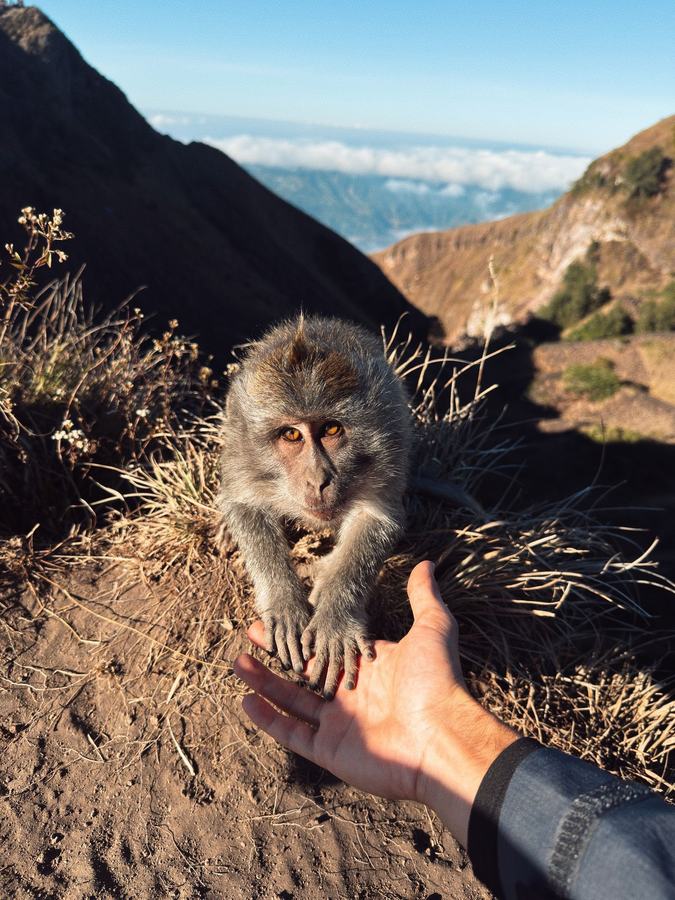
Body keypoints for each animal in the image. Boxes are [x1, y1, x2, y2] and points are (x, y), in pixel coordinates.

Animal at [218, 315, 411, 699]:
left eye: (331, 429)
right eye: (291, 435)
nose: (318, 480)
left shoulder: (388, 449)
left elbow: (375, 518)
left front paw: (335, 615)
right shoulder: (243, 453)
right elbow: (245, 505)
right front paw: (285, 603)